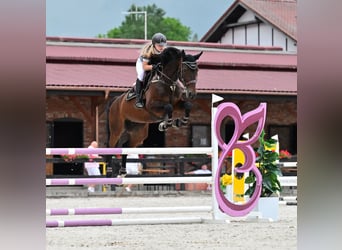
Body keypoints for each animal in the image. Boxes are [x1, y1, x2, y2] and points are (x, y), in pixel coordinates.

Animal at [107, 47, 203, 176]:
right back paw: (109, 171)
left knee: (126, 146)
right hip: (117, 129)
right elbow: (168, 107)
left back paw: (122, 171)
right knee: (110, 146)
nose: (191, 94)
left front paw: (179, 122)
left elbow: (186, 105)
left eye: (197, 70)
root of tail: (115, 100)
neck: (168, 82)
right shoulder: (151, 106)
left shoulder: (177, 104)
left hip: (138, 132)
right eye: (184, 69)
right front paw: (167, 123)